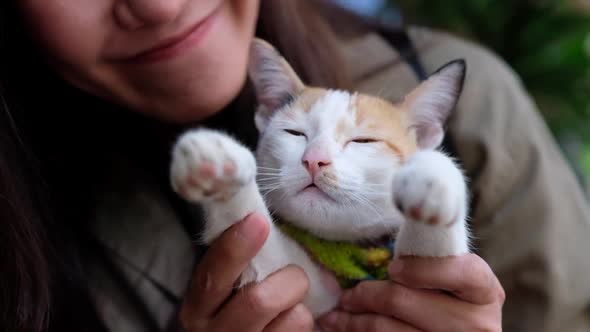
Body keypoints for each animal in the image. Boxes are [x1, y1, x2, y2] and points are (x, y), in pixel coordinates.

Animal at [170, 39, 472, 316]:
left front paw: (432, 176)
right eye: (294, 133)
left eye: (363, 141)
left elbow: (432, 253)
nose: (314, 159)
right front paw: (215, 163)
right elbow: (258, 242)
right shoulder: (292, 281)